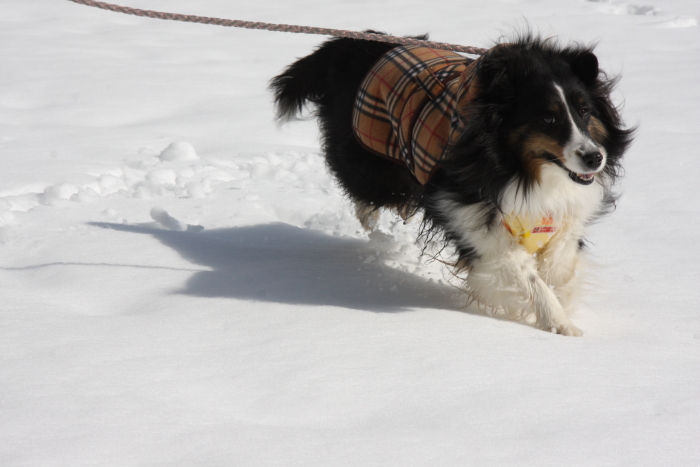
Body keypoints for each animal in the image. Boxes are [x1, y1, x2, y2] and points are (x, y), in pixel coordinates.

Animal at [270, 33, 636, 336]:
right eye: (548, 118)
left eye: (585, 112)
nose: (595, 158)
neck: (522, 171)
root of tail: (348, 44)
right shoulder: (470, 212)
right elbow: (519, 268)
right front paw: (559, 323)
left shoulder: (561, 214)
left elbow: (560, 263)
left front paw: (562, 304)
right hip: (368, 158)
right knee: (367, 189)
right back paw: (371, 219)